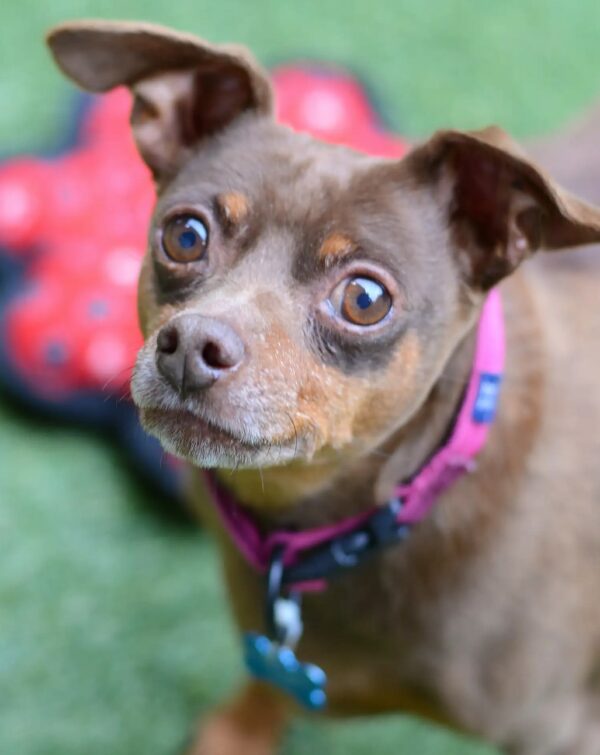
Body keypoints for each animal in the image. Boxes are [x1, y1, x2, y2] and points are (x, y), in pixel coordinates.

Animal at [45, 19, 600, 755]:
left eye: (364, 298)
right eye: (184, 234)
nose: (192, 346)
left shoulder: (562, 729)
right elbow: (267, 677)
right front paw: (240, 730)